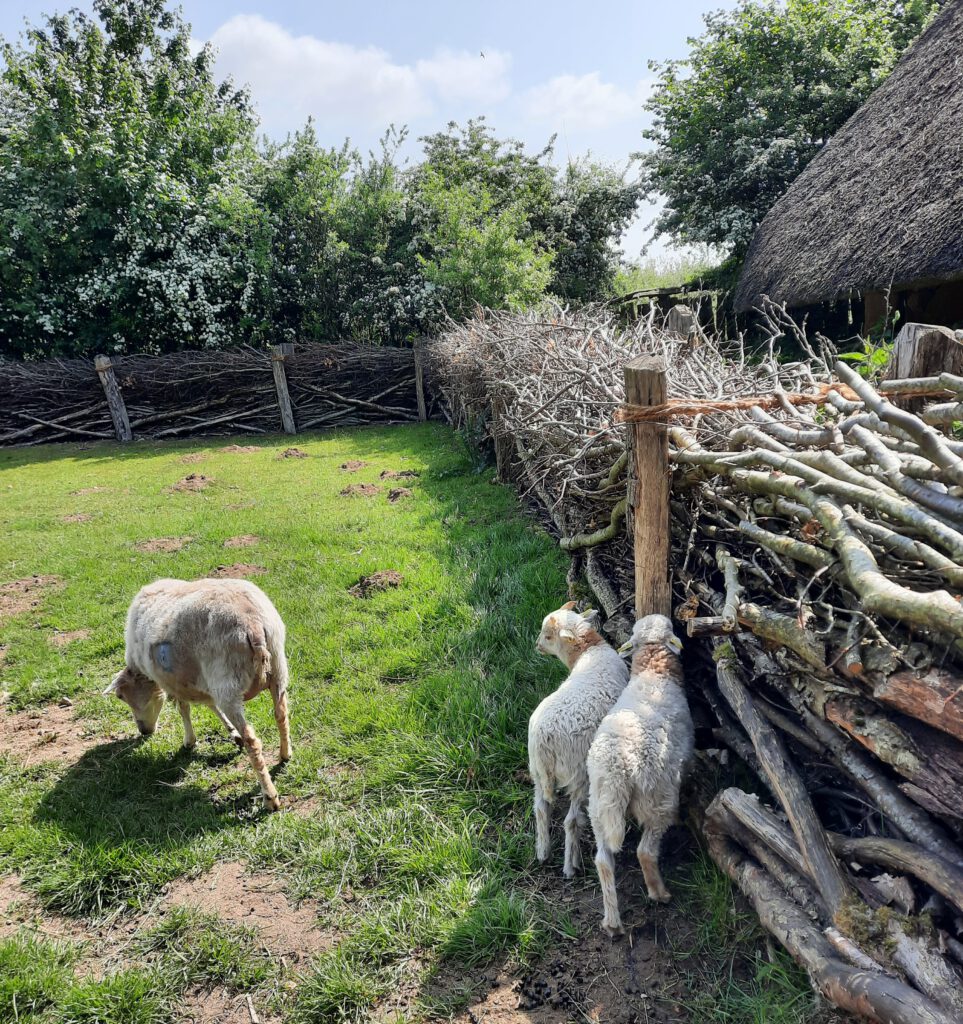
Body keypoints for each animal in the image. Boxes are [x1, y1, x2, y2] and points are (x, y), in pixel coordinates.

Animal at [105, 581, 290, 811]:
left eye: (121, 696)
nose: (143, 731)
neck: (143, 672)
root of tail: (254, 626)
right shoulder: (201, 683)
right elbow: (211, 705)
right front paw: (231, 732)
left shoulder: (175, 682)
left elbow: (184, 709)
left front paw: (189, 741)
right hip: (277, 669)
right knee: (281, 714)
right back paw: (285, 755)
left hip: (226, 682)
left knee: (253, 742)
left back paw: (270, 796)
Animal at [528, 602, 631, 876]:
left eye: (548, 636)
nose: (537, 645)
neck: (589, 652)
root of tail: (544, 741)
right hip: (578, 773)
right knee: (570, 820)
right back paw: (569, 866)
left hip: (535, 769)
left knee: (540, 807)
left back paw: (542, 851)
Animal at [585, 606, 692, 937]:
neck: (653, 670)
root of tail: (616, 768)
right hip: (656, 798)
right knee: (645, 851)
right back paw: (659, 893)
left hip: (598, 806)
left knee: (603, 860)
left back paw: (612, 922)